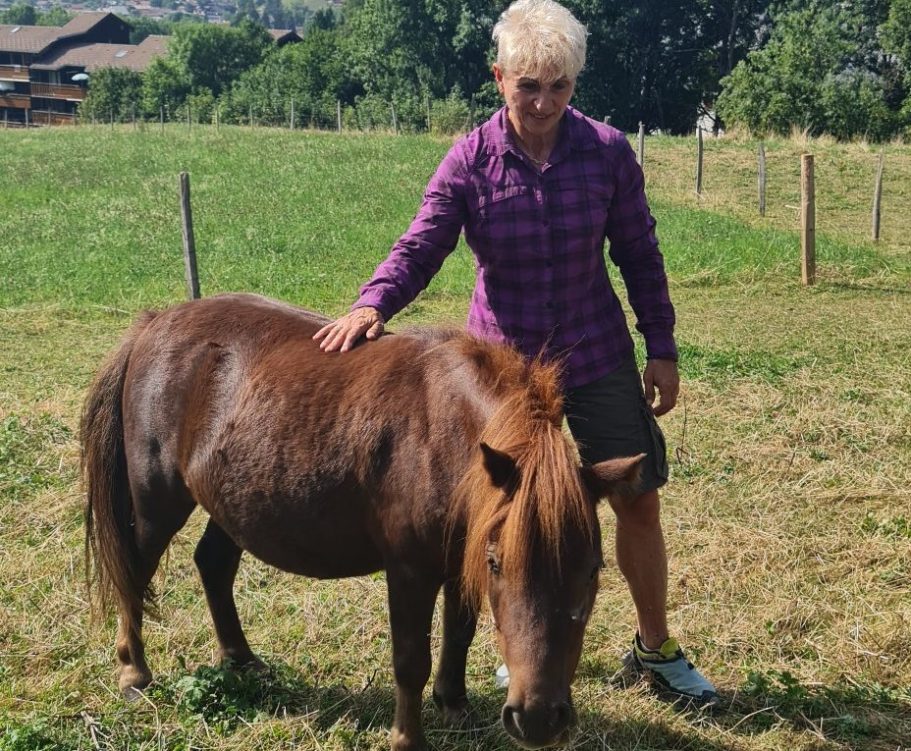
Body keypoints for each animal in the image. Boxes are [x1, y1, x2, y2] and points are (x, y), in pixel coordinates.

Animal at [82, 293, 643, 751]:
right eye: (498, 565)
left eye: (593, 569)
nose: (539, 720)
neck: (442, 431)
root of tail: (155, 323)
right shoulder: (412, 570)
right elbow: (410, 659)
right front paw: (407, 738)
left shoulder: (461, 551)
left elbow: (459, 631)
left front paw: (454, 705)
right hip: (157, 504)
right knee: (134, 573)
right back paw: (134, 673)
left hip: (232, 500)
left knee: (213, 566)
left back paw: (241, 660)